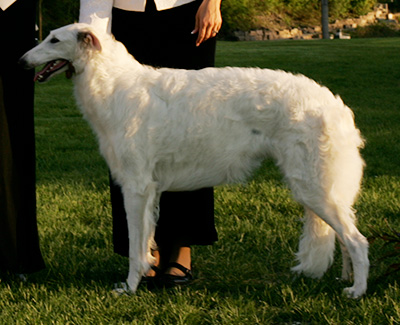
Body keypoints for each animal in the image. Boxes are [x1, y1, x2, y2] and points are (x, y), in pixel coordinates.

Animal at [18, 22, 368, 296]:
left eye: (54, 40)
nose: (21, 61)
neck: (114, 86)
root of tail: (336, 105)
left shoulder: (136, 186)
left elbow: (134, 246)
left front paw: (129, 287)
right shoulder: (150, 190)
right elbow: (145, 242)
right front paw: (144, 275)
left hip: (313, 186)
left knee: (357, 241)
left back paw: (357, 291)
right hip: (323, 188)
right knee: (344, 238)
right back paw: (345, 280)